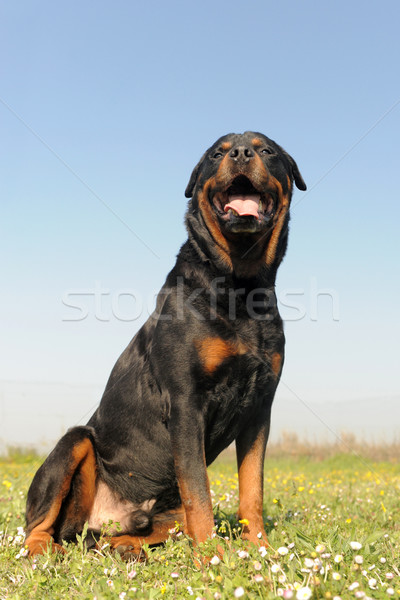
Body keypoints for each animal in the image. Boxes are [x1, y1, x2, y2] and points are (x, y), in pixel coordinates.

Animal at [25, 131, 306, 556]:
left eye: (267, 150)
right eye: (217, 154)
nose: (241, 153)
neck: (240, 286)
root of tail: (107, 519)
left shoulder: (260, 408)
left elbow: (251, 489)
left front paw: (260, 550)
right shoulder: (187, 402)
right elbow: (198, 492)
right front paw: (211, 558)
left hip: (160, 516)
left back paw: (126, 548)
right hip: (74, 442)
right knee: (39, 525)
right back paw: (45, 551)